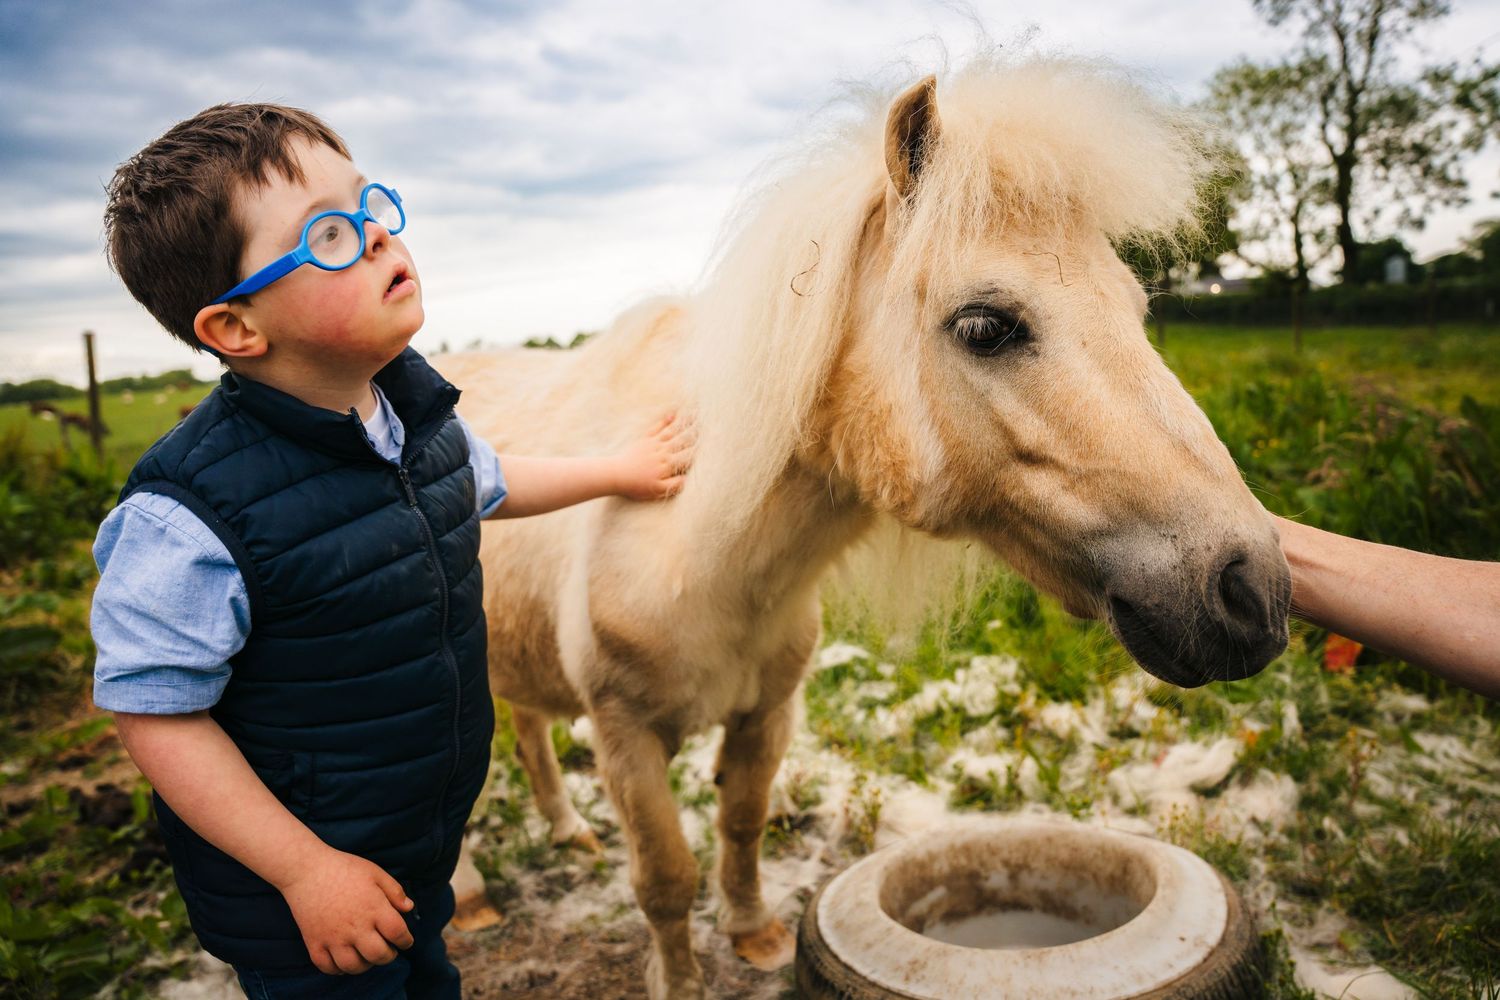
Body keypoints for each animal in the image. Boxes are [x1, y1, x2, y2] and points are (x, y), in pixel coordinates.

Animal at [435, 54, 1292, 999]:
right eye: (985, 325)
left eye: (1136, 311)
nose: (1251, 590)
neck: (696, 546)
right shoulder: (625, 738)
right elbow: (665, 878)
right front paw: (683, 978)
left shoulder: (765, 715)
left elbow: (741, 825)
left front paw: (756, 937)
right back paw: (471, 900)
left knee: (528, 736)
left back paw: (564, 831)